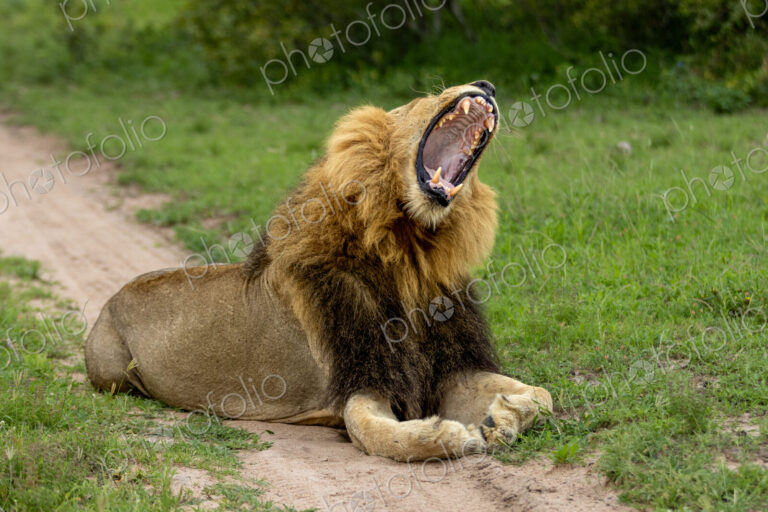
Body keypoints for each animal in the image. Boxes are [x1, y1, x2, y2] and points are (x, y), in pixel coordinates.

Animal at [85, 80, 553, 461]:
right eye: (423, 97)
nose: (486, 85)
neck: (411, 254)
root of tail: (113, 296)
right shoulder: (363, 382)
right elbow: (377, 435)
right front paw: (451, 435)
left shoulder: (448, 369)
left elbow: (544, 395)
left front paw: (503, 417)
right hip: (109, 372)